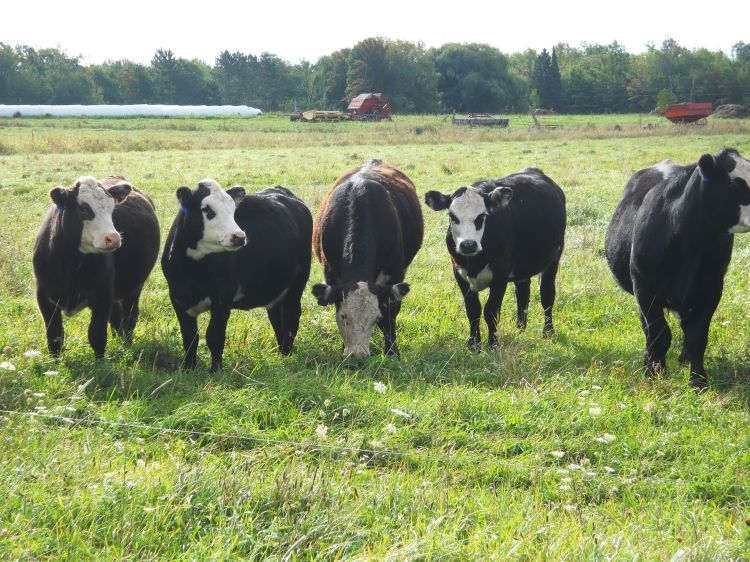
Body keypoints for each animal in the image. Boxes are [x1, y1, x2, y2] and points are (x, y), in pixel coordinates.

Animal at [34, 175, 162, 356]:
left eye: (112, 208)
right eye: (83, 208)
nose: (113, 238)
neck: (70, 264)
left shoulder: (102, 296)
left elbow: (97, 335)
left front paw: (100, 362)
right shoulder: (44, 297)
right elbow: (54, 337)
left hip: (135, 287)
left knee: (130, 316)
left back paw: (126, 346)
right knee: (117, 317)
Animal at [163, 179, 312, 370]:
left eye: (232, 210)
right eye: (207, 210)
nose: (239, 236)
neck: (191, 271)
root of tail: (282, 191)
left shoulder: (223, 298)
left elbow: (214, 336)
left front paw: (216, 370)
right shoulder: (177, 298)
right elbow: (190, 337)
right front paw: (189, 368)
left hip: (297, 285)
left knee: (291, 317)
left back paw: (288, 355)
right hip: (275, 289)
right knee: (277, 320)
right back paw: (282, 353)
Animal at [426, 168, 568, 348]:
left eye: (481, 216)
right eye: (452, 216)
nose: (468, 245)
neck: (474, 262)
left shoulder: (501, 274)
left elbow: (491, 311)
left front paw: (493, 344)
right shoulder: (458, 272)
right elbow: (473, 310)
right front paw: (474, 345)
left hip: (554, 258)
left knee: (547, 295)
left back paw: (548, 332)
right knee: (522, 292)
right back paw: (520, 328)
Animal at [604, 147, 750, 388]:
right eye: (736, 183)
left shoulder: (711, 288)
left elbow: (697, 337)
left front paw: (698, 381)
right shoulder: (645, 288)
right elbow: (659, 335)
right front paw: (654, 373)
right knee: (649, 328)